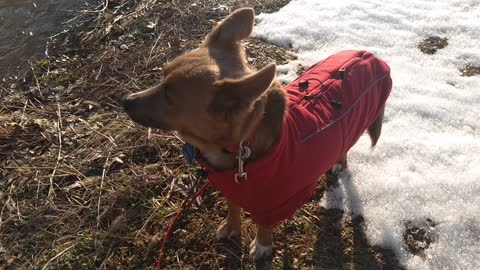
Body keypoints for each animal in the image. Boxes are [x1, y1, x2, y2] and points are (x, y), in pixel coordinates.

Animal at [122, 7, 392, 262]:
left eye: (169, 96)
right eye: (161, 76)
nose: (125, 100)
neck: (236, 148)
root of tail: (371, 56)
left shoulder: (271, 204)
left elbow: (263, 225)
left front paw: (262, 246)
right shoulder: (231, 187)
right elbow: (232, 208)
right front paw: (231, 227)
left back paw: (338, 164)